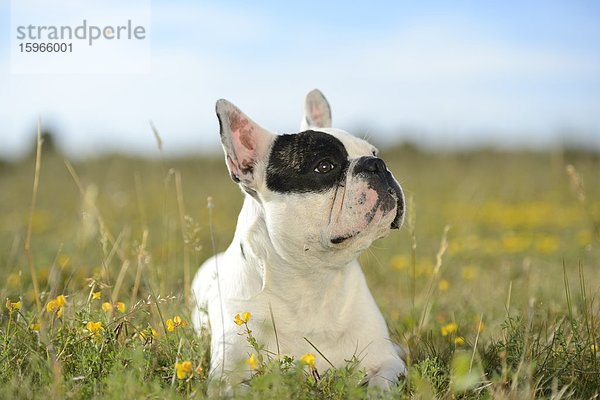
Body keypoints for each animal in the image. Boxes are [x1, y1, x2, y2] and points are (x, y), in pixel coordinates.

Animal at [192, 89, 408, 390]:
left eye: (374, 153)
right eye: (324, 166)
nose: (377, 165)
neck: (313, 281)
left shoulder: (388, 361)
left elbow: (381, 385)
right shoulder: (226, 377)